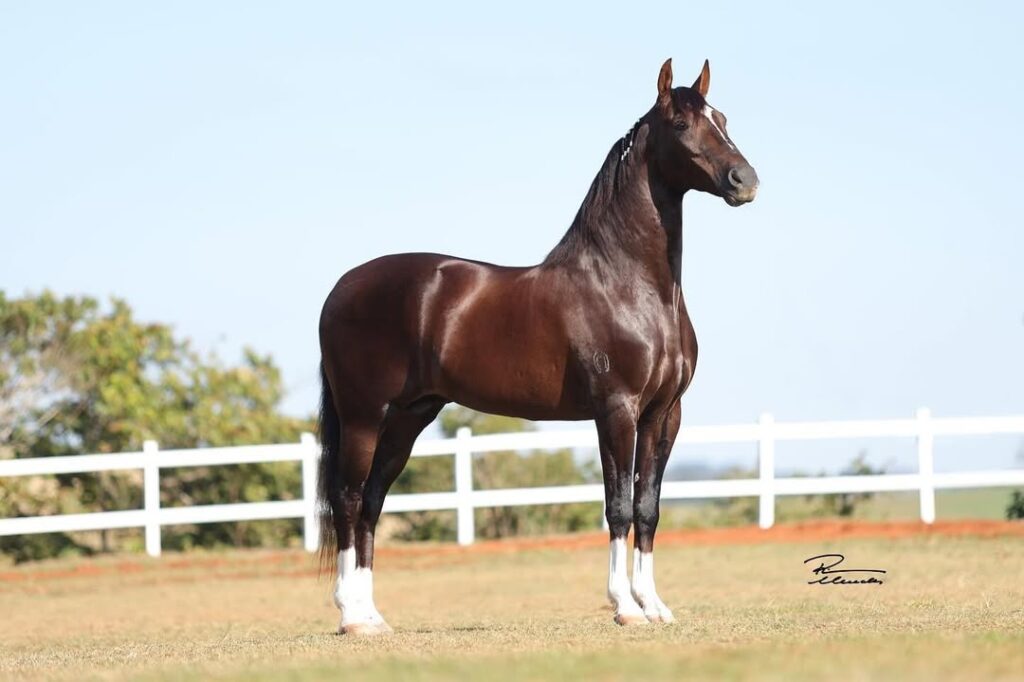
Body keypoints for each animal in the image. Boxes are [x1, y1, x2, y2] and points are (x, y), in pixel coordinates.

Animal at [317, 58, 758, 635]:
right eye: (683, 124)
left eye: (722, 118)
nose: (745, 181)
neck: (628, 284)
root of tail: (341, 289)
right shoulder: (616, 410)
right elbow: (617, 506)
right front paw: (625, 607)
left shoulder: (664, 414)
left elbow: (648, 508)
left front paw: (654, 605)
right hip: (365, 415)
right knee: (348, 500)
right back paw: (350, 615)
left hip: (409, 417)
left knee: (372, 500)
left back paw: (373, 617)